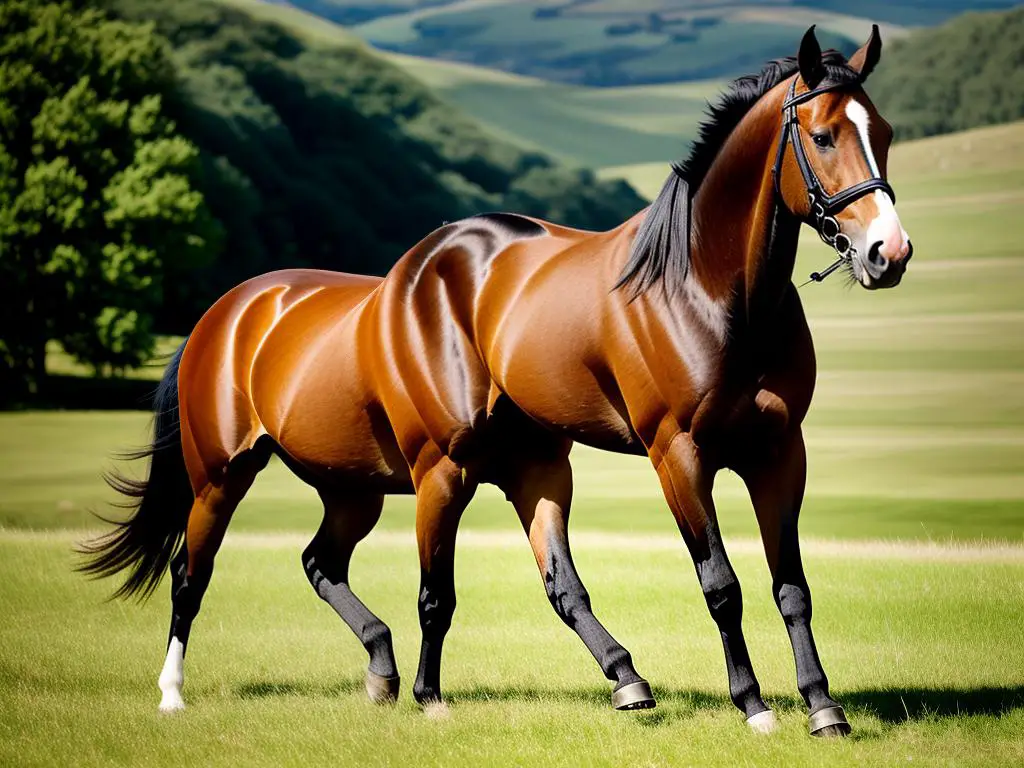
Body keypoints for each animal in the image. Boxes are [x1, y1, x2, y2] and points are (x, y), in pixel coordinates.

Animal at [81, 25, 913, 741]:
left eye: (884, 134)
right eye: (823, 135)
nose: (889, 252)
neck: (704, 290)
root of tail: (231, 312)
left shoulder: (778, 453)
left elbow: (789, 585)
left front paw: (823, 706)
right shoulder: (678, 456)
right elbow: (719, 583)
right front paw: (755, 706)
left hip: (388, 484)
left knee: (331, 563)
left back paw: (429, 672)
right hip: (233, 477)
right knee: (192, 575)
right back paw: (176, 693)